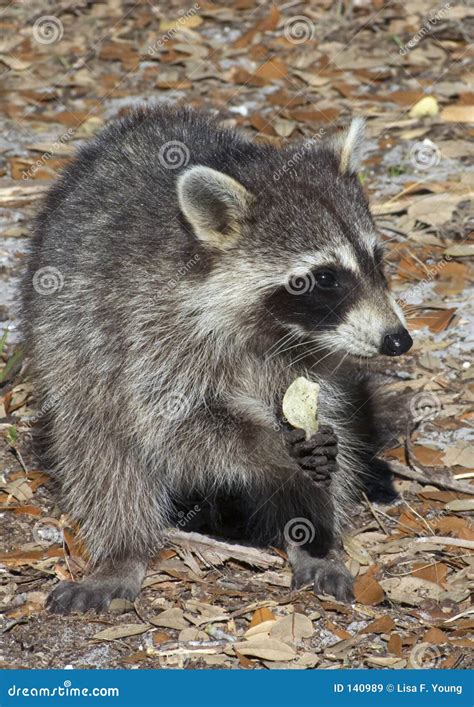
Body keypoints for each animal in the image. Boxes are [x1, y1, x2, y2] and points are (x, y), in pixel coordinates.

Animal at [22, 106, 412, 612]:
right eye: (325, 277)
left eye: (376, 259)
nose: (398, 341)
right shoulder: (149, 327)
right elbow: (172, 423)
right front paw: (267, 442)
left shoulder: (314, 355)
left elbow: (326, 413)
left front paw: (313, 512)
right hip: (70, 350)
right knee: (102, 450)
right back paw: (124, 547)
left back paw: (312, 537)